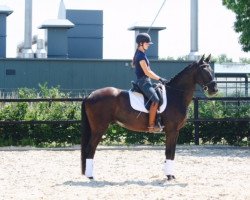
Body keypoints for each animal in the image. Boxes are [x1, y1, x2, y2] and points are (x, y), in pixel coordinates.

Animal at [81, 54, 218, 180]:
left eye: (211, 69)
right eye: (204, 70)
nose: (214, 89)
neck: (175, 95)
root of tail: (90, 95)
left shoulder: (175, 131)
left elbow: (172, 153)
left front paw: (170, 175)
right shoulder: (171, 131)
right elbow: (169, 152)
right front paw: (169, 176)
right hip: (99, 129)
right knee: (90, 149)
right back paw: (91, 176)